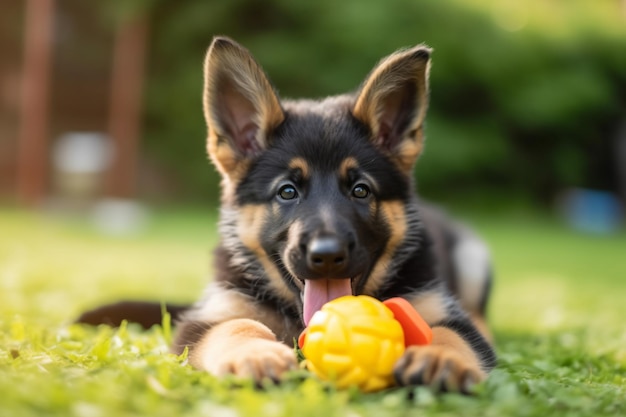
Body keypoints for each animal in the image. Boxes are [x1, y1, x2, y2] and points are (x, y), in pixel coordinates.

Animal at [80, 37, 494, 392]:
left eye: (361, 190)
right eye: (287, 192)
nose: (327, 256)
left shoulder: (438, 306)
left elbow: (451, 332)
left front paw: (440, 357)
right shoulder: (208, 318)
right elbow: (238, 325)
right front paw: (255, 354)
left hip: (472, 255)